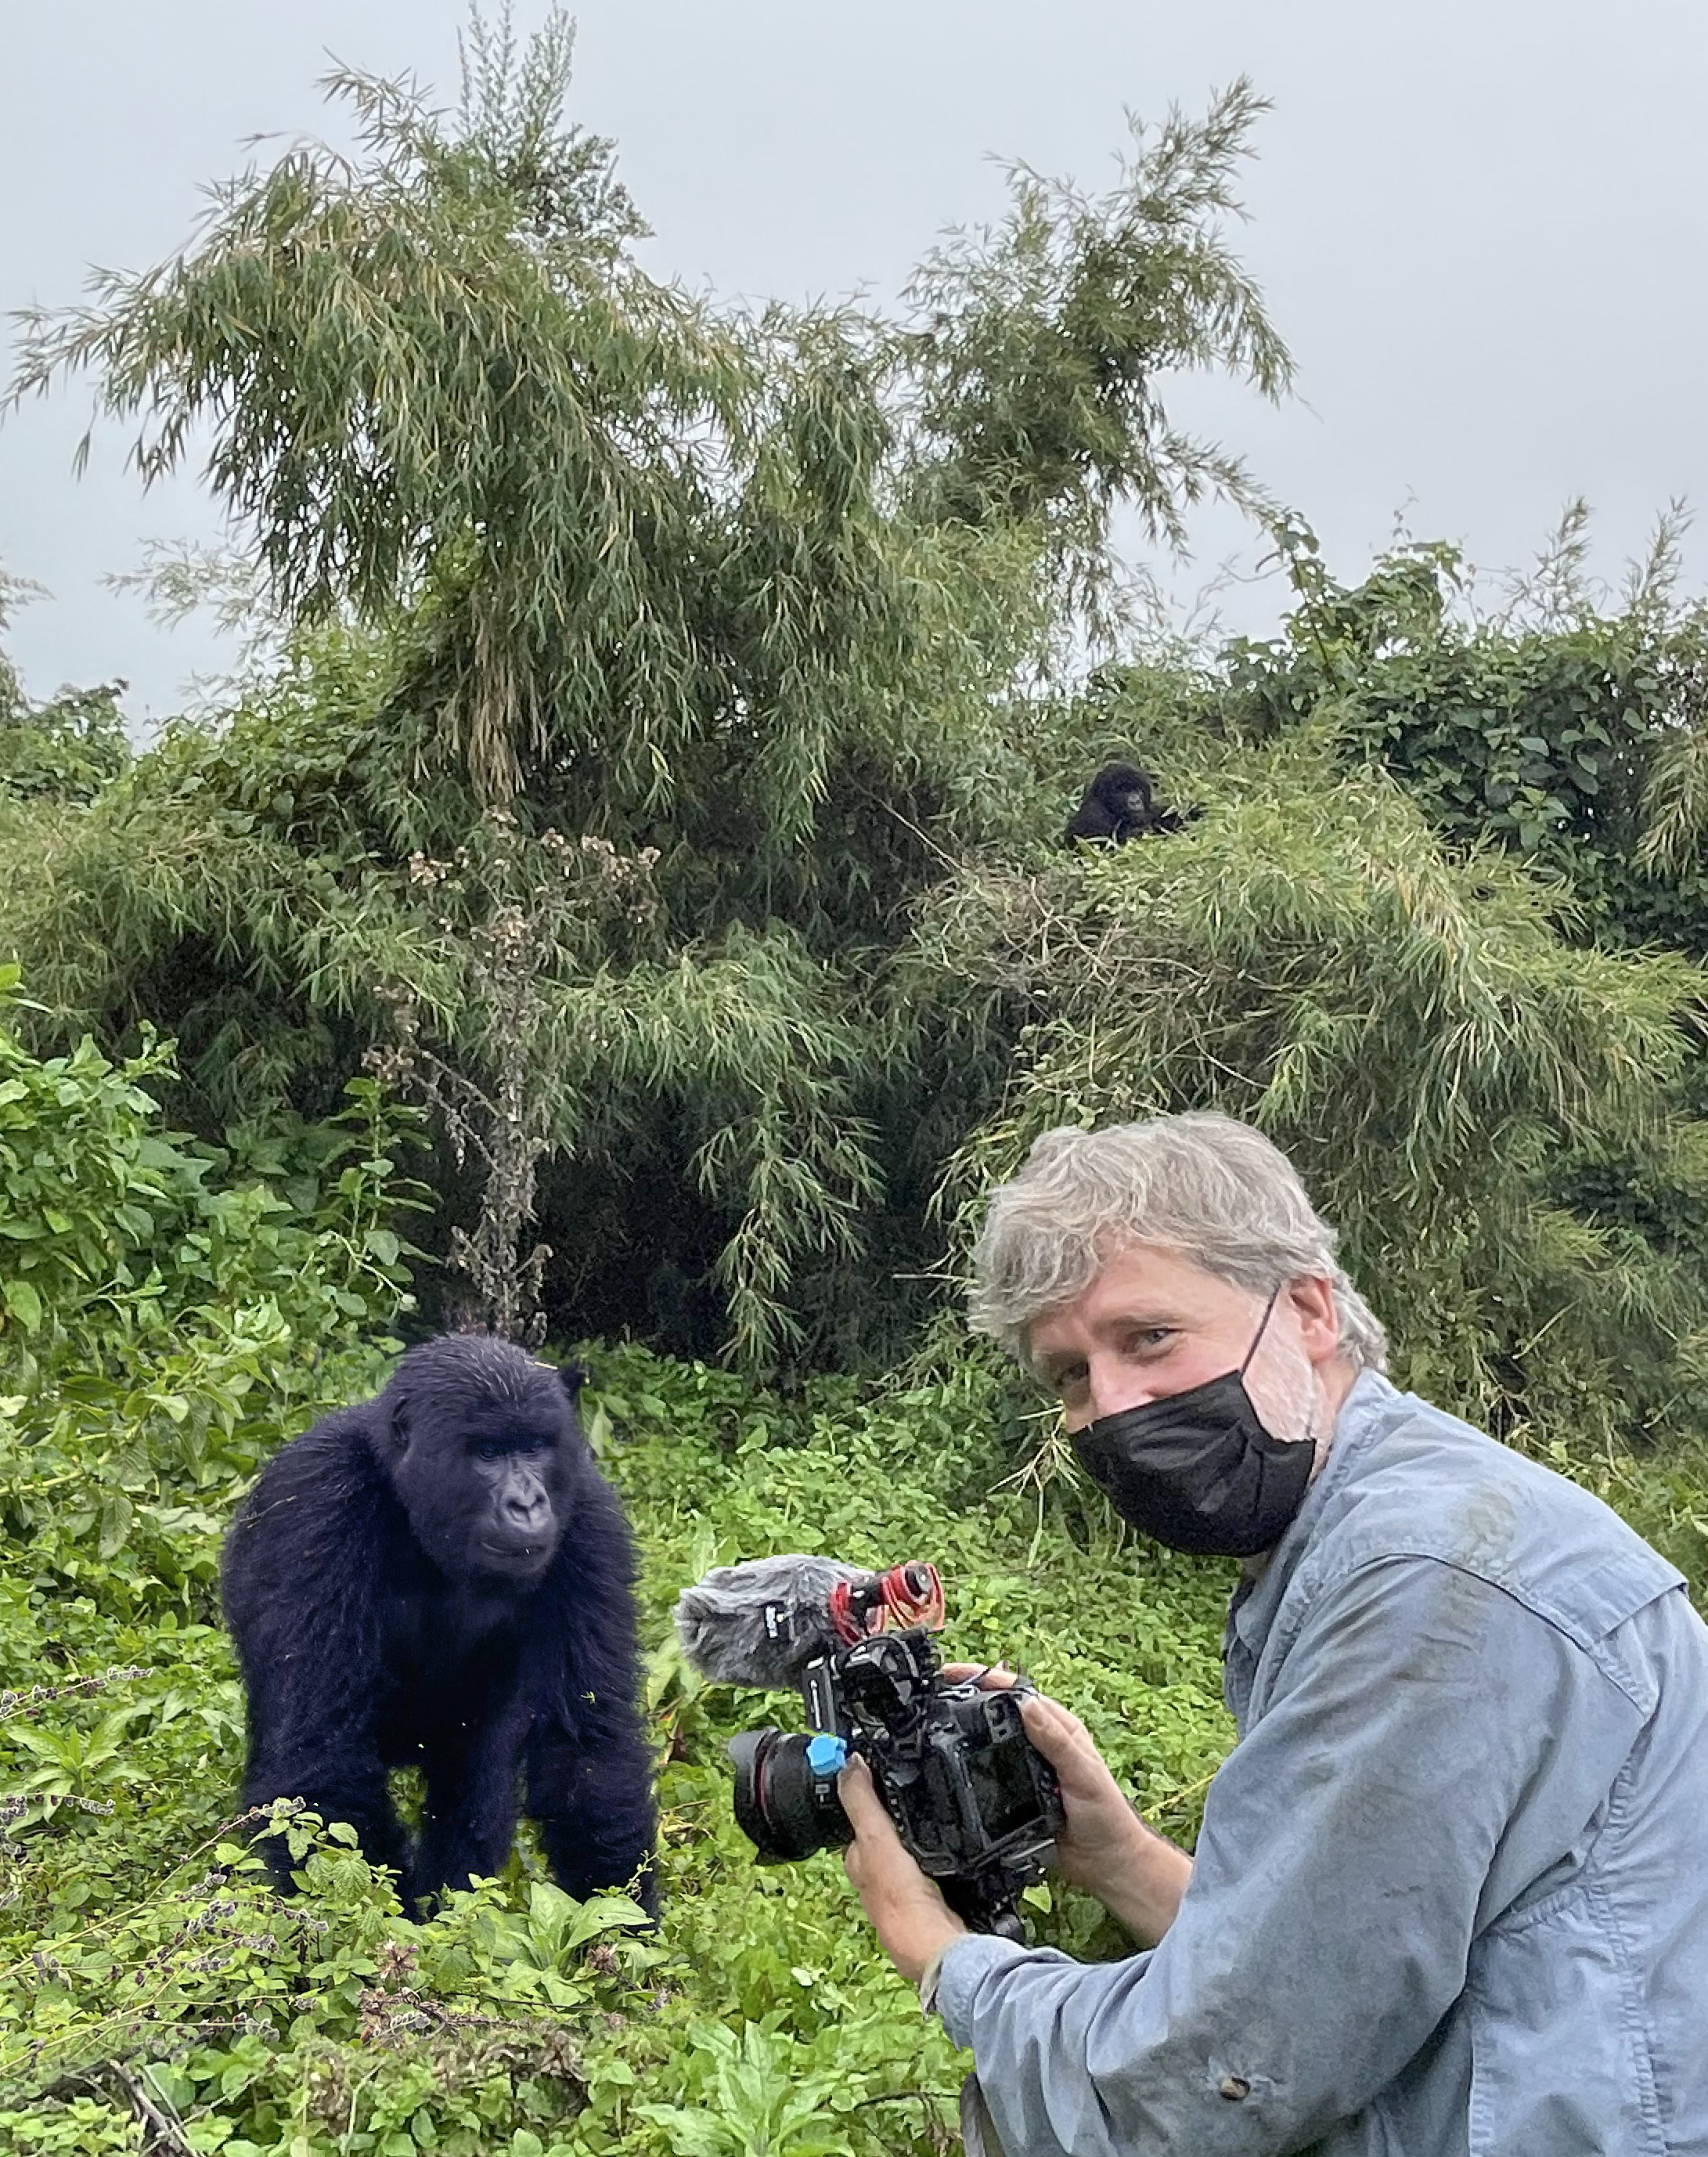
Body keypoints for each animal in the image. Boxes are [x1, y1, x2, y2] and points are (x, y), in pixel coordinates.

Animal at [218, 1337, 655, 1915]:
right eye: (487, 1453)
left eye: (535, 1447)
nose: (527, 1502)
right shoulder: (316, 1502)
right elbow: (323, 1758)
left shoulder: (588, 1519)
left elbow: (587, 1752)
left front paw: (624, 1930)